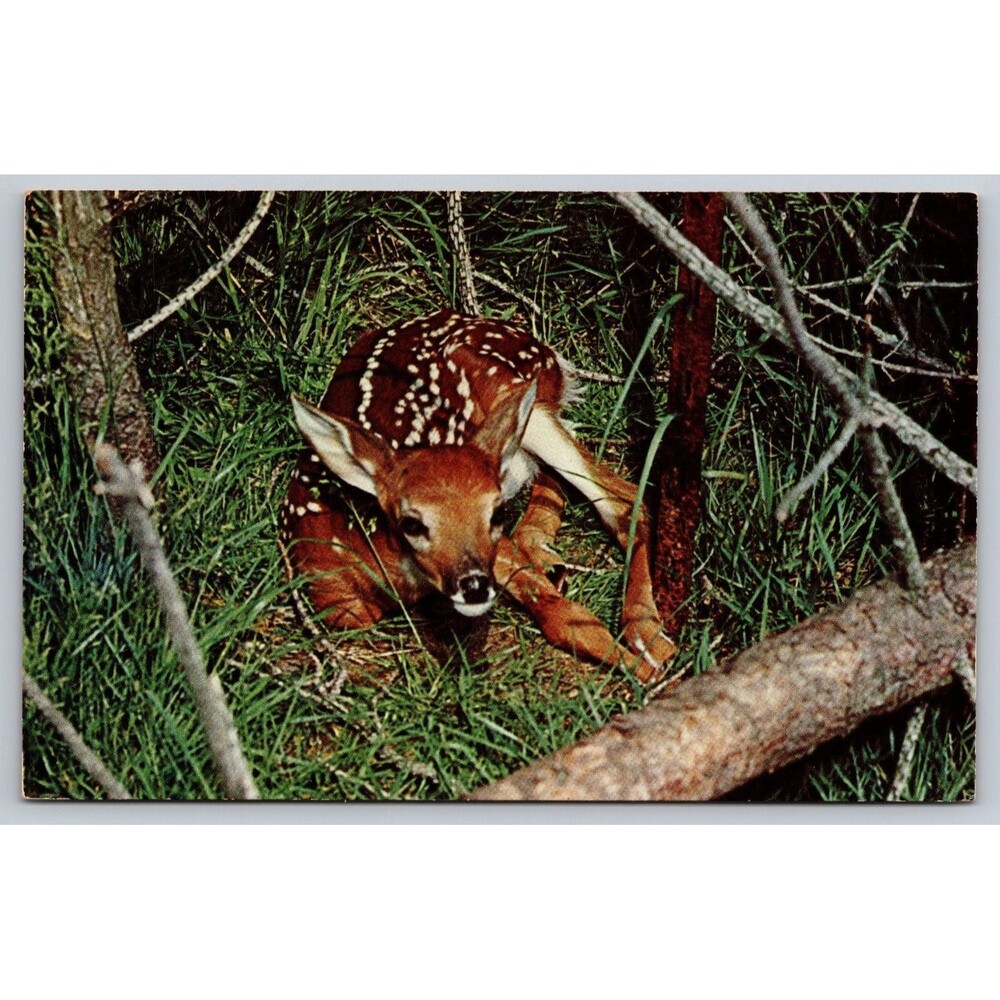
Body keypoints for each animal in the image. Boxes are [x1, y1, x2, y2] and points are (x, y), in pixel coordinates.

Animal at [281, 308, 676, 683]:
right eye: (411, 522)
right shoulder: (335, 603)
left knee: (625, 500)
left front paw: (651, 674)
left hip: (515, 395)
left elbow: (564, 617)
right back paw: (547, 556)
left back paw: (647, 635)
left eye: (496, 512)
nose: (473, 586)